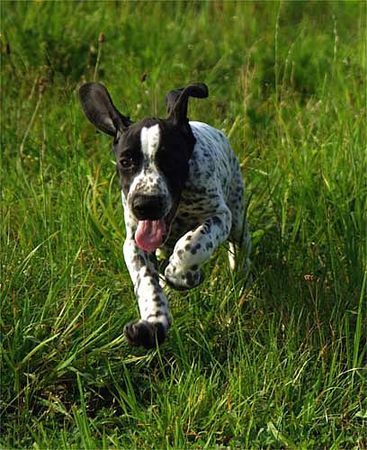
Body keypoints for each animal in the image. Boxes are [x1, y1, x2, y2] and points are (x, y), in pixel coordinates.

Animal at [79, 82, 252, 350]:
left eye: (170, 159)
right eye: (126, 161)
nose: (145, 204)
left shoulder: (219, 216)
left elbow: (193, 244)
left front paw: (181, 274)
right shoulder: (134, 243)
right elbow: (147, 282)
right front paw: (153, 323)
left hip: (237, 214)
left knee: (240, 243)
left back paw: (239, 271)